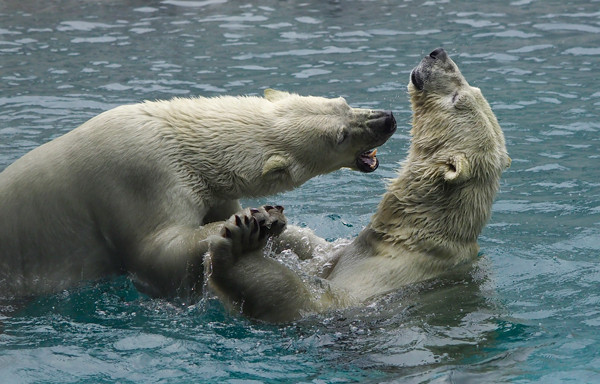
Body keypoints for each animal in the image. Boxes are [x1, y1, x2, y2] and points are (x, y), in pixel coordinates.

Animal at [0, 89, 398, 300]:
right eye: (340, 136)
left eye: (342, 102)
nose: (387, 119)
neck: (177, 141)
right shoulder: (138, 178)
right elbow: (157, 256)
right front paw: (252, 223)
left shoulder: (210, 189)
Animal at [207, 48, 510, 324]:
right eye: (473, 88)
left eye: (458, 98)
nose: (438, 53)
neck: (412, 230)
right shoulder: (352, 248)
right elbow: (314, 248)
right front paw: (271, 219)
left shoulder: (387, 278)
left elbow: (308, 300)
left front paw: (242, 242)